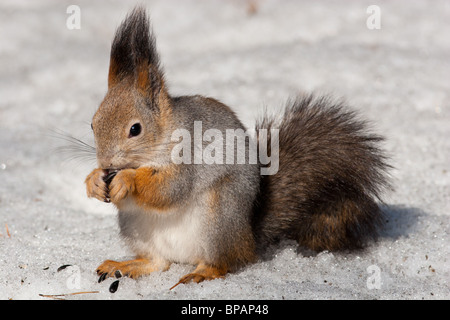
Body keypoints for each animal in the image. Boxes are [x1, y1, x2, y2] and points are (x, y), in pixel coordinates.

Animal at [85, 7, 390, 288]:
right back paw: (124, 265)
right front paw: (93, 181)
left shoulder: (188, 158)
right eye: (92, 123)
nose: (106, 162)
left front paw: (127, 179)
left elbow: (169, 189)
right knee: (158, 262)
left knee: (227, 262)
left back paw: (202, 272)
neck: (163, 136)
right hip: (137, 227)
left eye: (135, 129)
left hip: (219, 217)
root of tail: (248, 238)